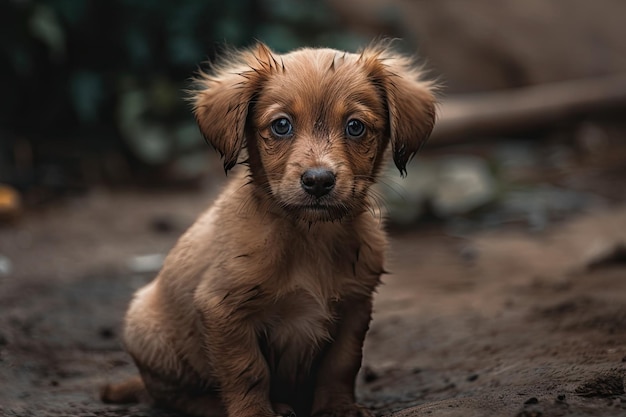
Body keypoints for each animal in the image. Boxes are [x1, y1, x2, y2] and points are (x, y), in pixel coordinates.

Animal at [102, 41, 434, 416]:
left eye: (355, 126)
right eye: (281, 125)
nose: (318, 181)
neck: (309, 235)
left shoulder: (355, 305)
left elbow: (341, 364)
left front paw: (338, 407)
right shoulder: (224, 309)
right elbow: (248, 371)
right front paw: (256, 412)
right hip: (148, 333)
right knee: (172, 395)